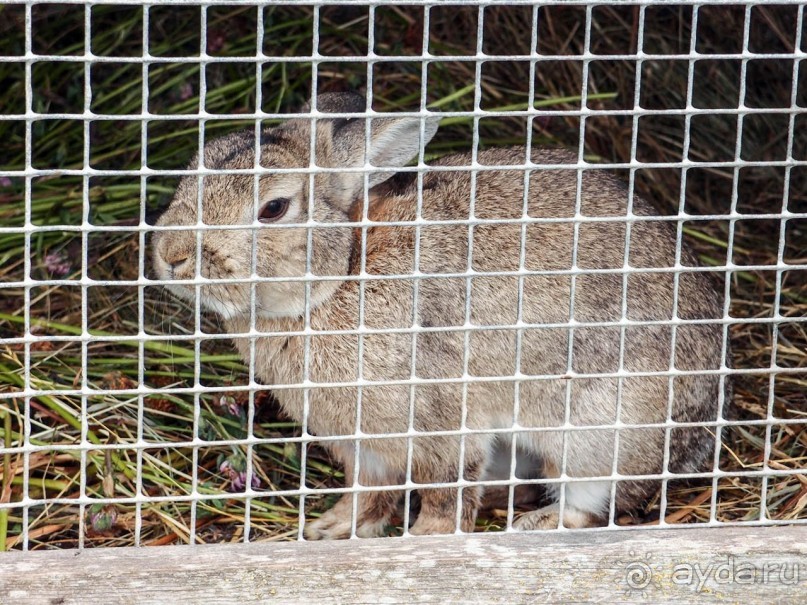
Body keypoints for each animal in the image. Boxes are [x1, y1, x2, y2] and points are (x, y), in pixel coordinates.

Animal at [152, 91, 732, 536]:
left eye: (273, 208)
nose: (171, 254)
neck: (339, 278)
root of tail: (703, 426)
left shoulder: (441, 423)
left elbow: (444, 489)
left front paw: (428, 536)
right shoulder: (362, 447)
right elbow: (368, 492)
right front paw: (333, 528)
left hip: (599, 428)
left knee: (596, 499)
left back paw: (541, 522)